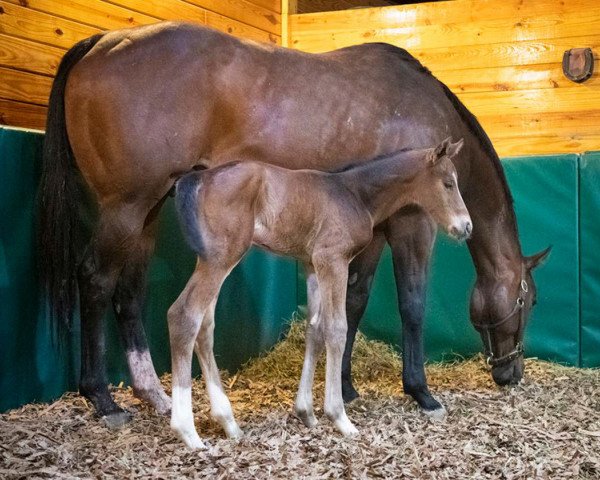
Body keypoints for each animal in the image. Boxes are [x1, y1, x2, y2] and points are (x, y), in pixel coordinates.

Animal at [168, 138, 468, 450]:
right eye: (448, 183)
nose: (466, 226)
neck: (354, 194)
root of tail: (197, 178)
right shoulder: (332, 260)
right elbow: (336, 329)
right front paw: (340, 417)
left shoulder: (312, 265)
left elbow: (315, 330)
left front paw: (306, 412)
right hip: (222, 257)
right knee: (184, 315)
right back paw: (188, 432)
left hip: (210, 258)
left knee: (204, 325)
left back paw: (228, 422)